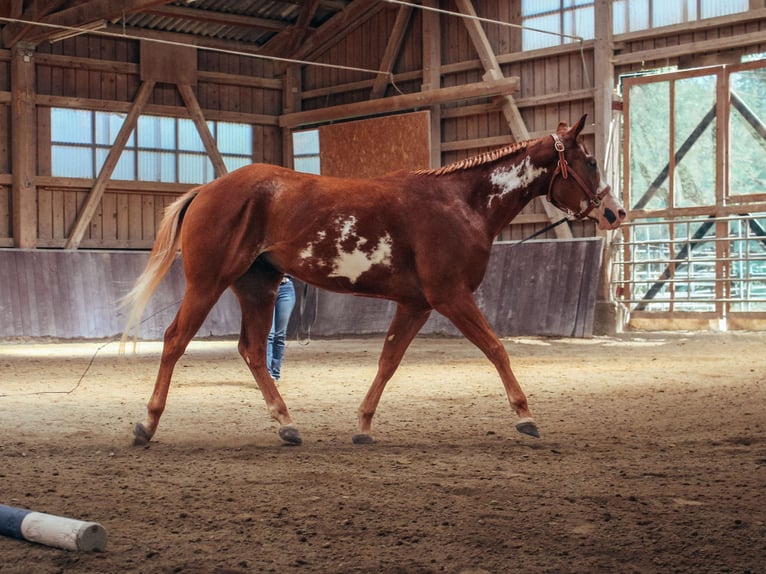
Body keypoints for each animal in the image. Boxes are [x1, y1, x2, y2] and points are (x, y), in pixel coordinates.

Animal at [122, 114, 625, 447]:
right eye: (590, 161)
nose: (614, 212)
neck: (460, 203)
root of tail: (206, 189)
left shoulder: (417, 304)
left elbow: (388, 361)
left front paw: (363, 425)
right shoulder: (451, 296)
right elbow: (496, 348)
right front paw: (525, 416)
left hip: (258, 288)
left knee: (251, 351)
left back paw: (287, 424)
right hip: (207, 284)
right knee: (175, 340)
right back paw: (147, 425)